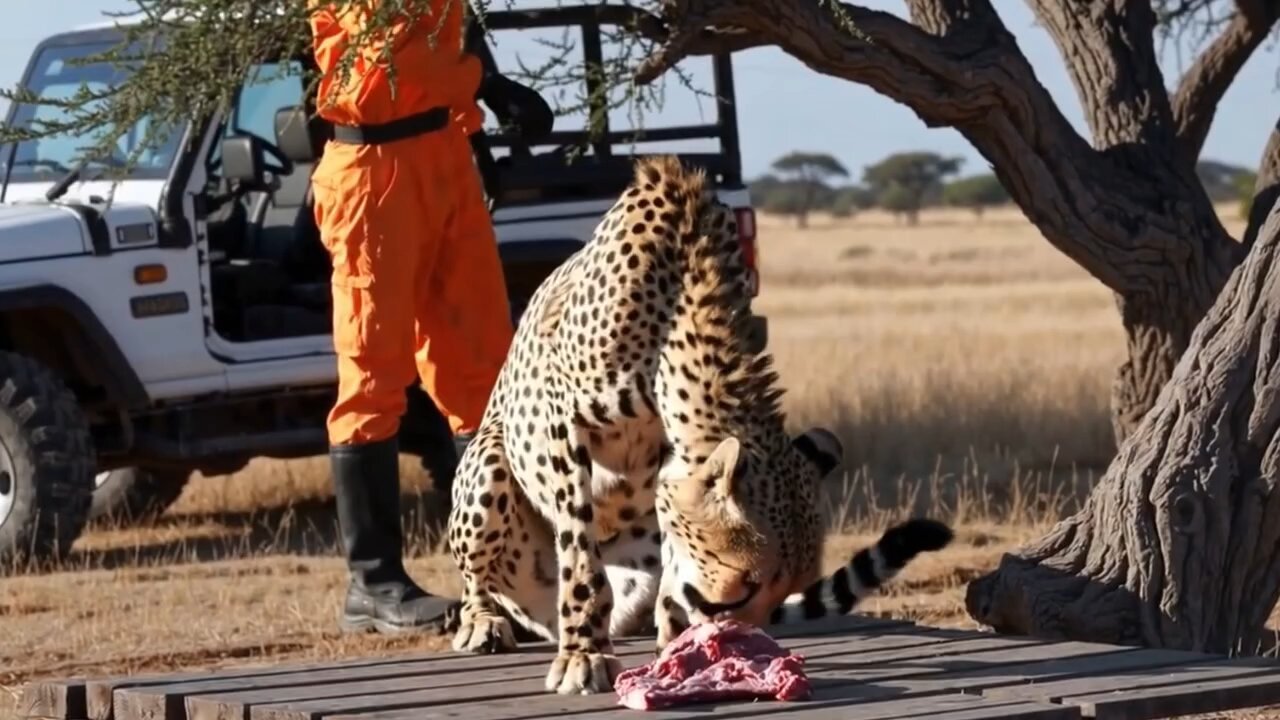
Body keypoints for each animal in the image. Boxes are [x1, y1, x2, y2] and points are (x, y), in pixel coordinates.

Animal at [445, 154, 957, 691]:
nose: (741, 634)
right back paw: (483, 621)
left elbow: (673, 554)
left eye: (784, 590)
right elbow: (582, 556)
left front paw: (675, 645)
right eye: (746, 584)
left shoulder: (670, 464)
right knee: (481, 576)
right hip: (488, 460)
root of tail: (536, 616)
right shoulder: (561, 421)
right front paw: (584, 654)